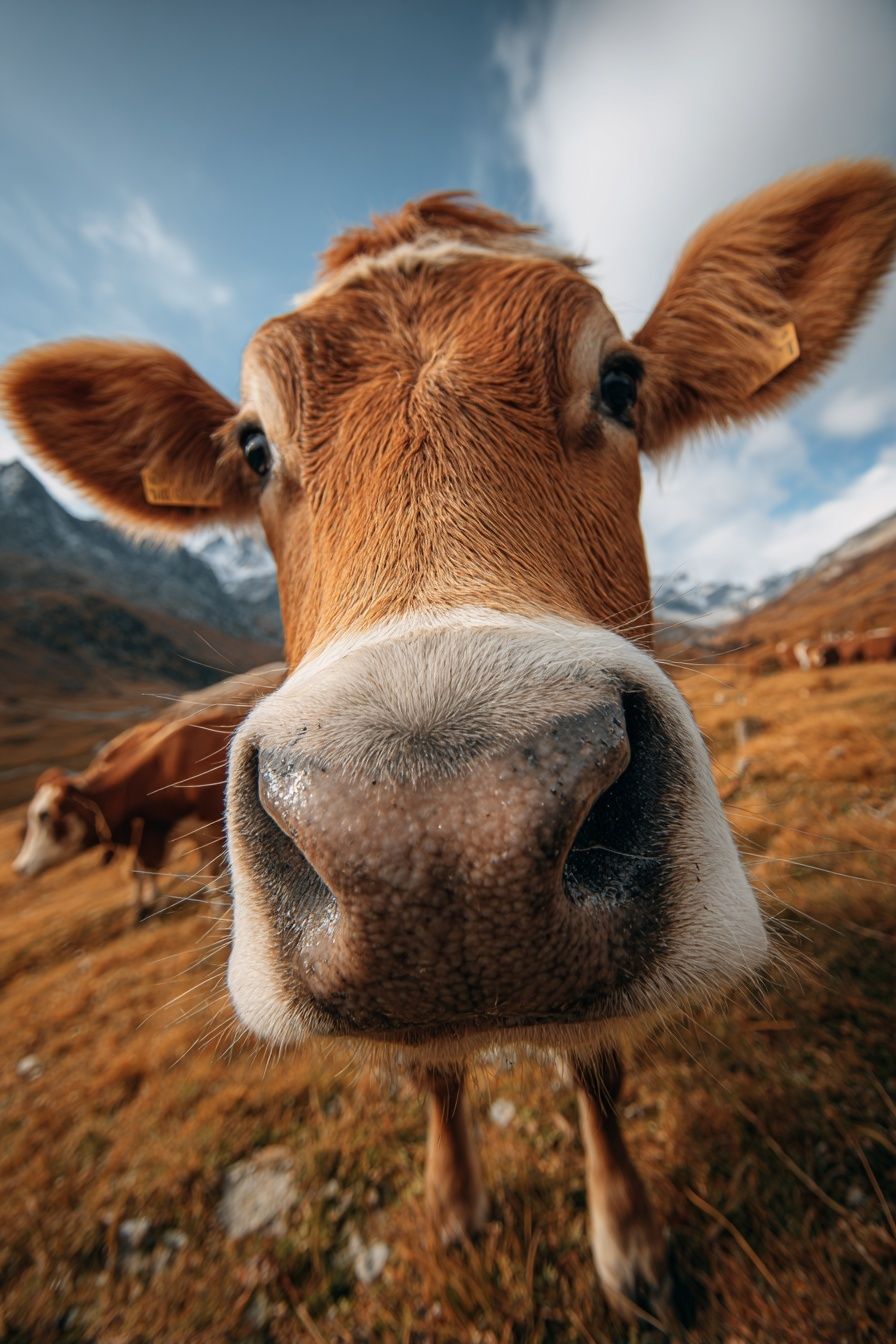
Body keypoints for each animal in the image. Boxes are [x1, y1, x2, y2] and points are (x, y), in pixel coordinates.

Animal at [12, 664, 284, 918]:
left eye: (44, 815)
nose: (19, 867)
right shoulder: (160, 832)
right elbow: (148, 869)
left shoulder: (209, 825)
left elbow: (210, 869)